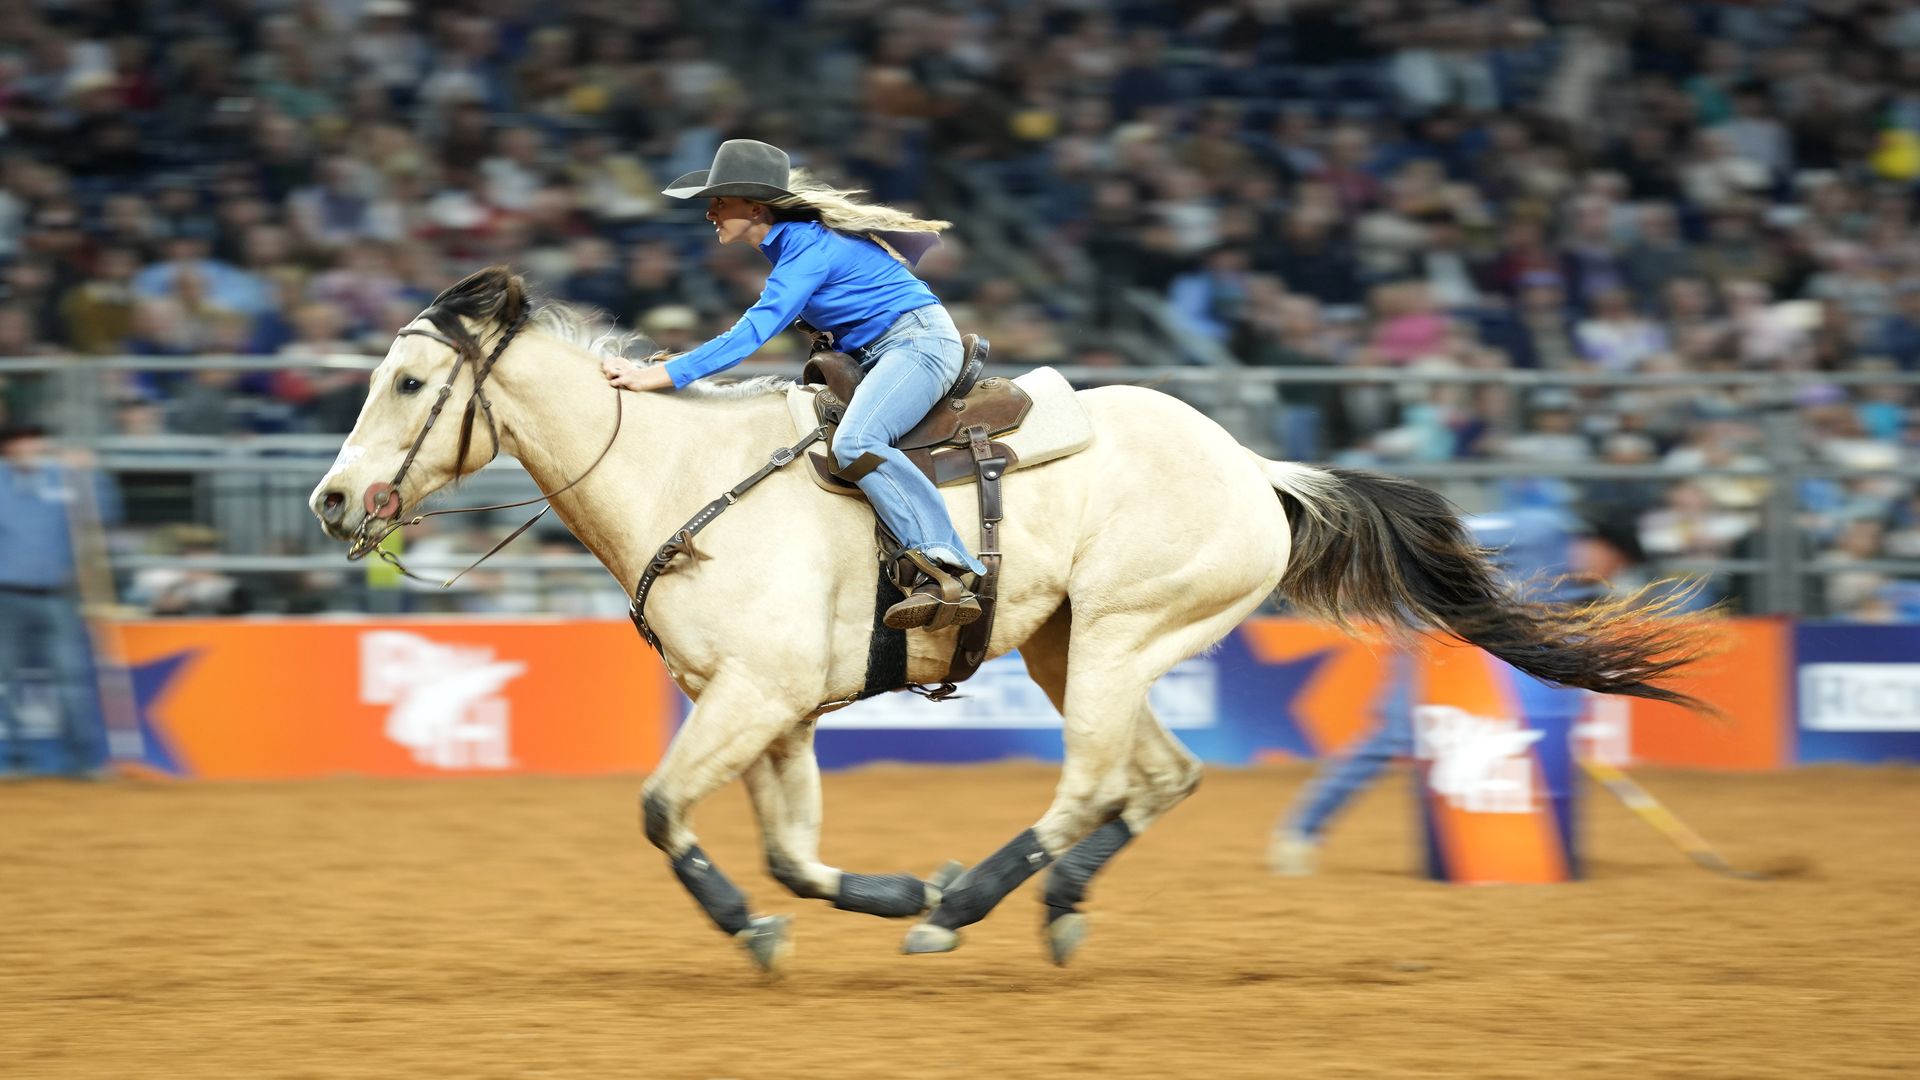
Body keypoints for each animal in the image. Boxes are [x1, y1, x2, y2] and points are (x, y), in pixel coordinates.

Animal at [310, 267, 1710, 973]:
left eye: (413, 382)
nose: (330, 499)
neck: (679, 478)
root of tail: (1259, 468)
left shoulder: (755, 700)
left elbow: (665, 814)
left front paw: (778, 927)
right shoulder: (771, 715)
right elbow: (793, 853)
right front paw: (872, 892)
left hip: (1125, 640)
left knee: (1093, 782)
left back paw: (967, 908)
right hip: (1066, 644)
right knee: (1159, 778)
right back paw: (1042, 908)